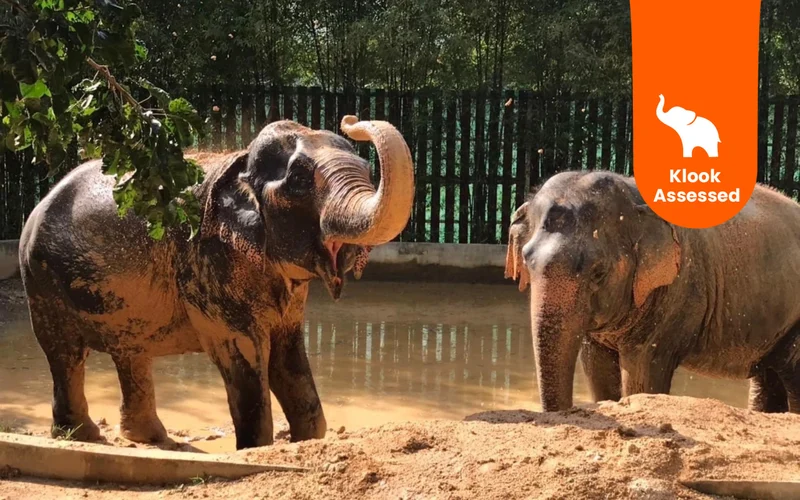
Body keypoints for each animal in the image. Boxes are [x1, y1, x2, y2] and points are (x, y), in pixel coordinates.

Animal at [18, 116, 414, 450]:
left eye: (368, 170)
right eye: (300, 181)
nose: (351, 120)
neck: (240, 163)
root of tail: (40, 203)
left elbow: (288, 355)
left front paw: (305, 442)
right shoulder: (207, 263)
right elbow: (245, 353)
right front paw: (254, 450)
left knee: (130, 350)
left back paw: (149, 439)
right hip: (41, 281)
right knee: (65, 351)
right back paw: (82, 437)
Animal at [505, 170, 800, 413]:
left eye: (599, 272)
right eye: (527, 261)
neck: (633, 195)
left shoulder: (676, 293)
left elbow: (642, 376)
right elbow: (596, 368)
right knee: (769, 377)